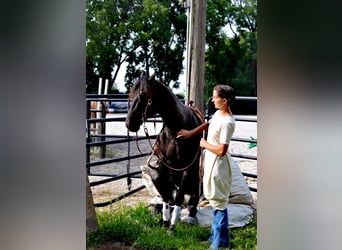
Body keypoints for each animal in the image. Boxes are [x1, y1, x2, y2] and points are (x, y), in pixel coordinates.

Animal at [127, 71, 204, 231]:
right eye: (131, 94)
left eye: (143, 95)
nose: (129, 123)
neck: (176, 130)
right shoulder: (163, 165)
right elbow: (164, 191)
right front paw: (164, 220)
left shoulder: (186, 168)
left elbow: (179, 196)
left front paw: (172, 226)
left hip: (194, 176)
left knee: (192, 199)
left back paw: (190, 216)